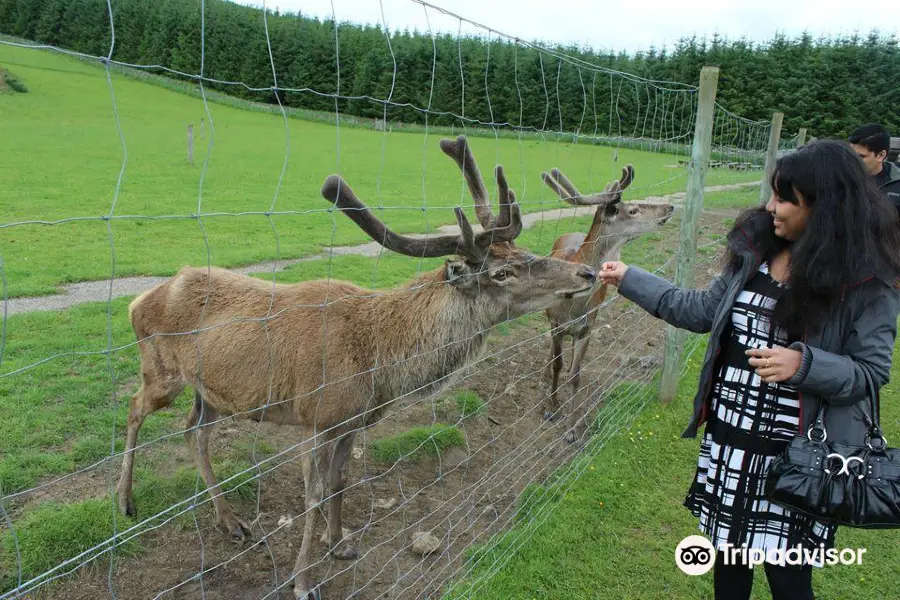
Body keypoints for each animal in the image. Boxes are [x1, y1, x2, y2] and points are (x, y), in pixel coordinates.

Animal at [116, 136, 600, 600]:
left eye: (525, 250)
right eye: (502, 273)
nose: (587, 274)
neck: (379, 362)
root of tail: (138, 300)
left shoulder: (352, 420)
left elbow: (341, 480)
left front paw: (340, 542)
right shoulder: (317, 417)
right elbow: (311, 495)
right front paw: (302, 582)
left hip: (213, 390)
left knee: (194, 430)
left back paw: (230, 521)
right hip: (161, 370)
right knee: (136, 406)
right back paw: (125, 501)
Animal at [536, 166, 672, 442]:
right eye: (633, 210)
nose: (669, 207)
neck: (573, 307)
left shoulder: (588, 327)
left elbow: (575, 375)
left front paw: (573, 428)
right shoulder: (556, 323)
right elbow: (558, 365)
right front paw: (551, 408)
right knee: (551, 354)